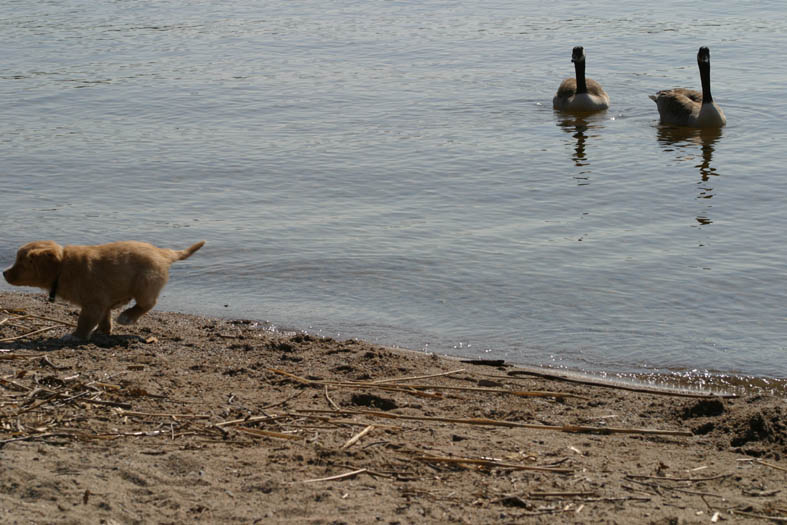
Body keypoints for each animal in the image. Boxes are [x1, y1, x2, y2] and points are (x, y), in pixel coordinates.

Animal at [3, 241, 205, 340]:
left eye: (21, 262)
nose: (3, 273)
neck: (63, 266)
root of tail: (163, 253)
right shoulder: (102, 301)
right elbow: (104, 316)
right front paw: (103, 330)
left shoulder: (93, 303)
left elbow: (84, 321)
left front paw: (75, 336)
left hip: (145, 282)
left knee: (147, 304)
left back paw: (127, 317)